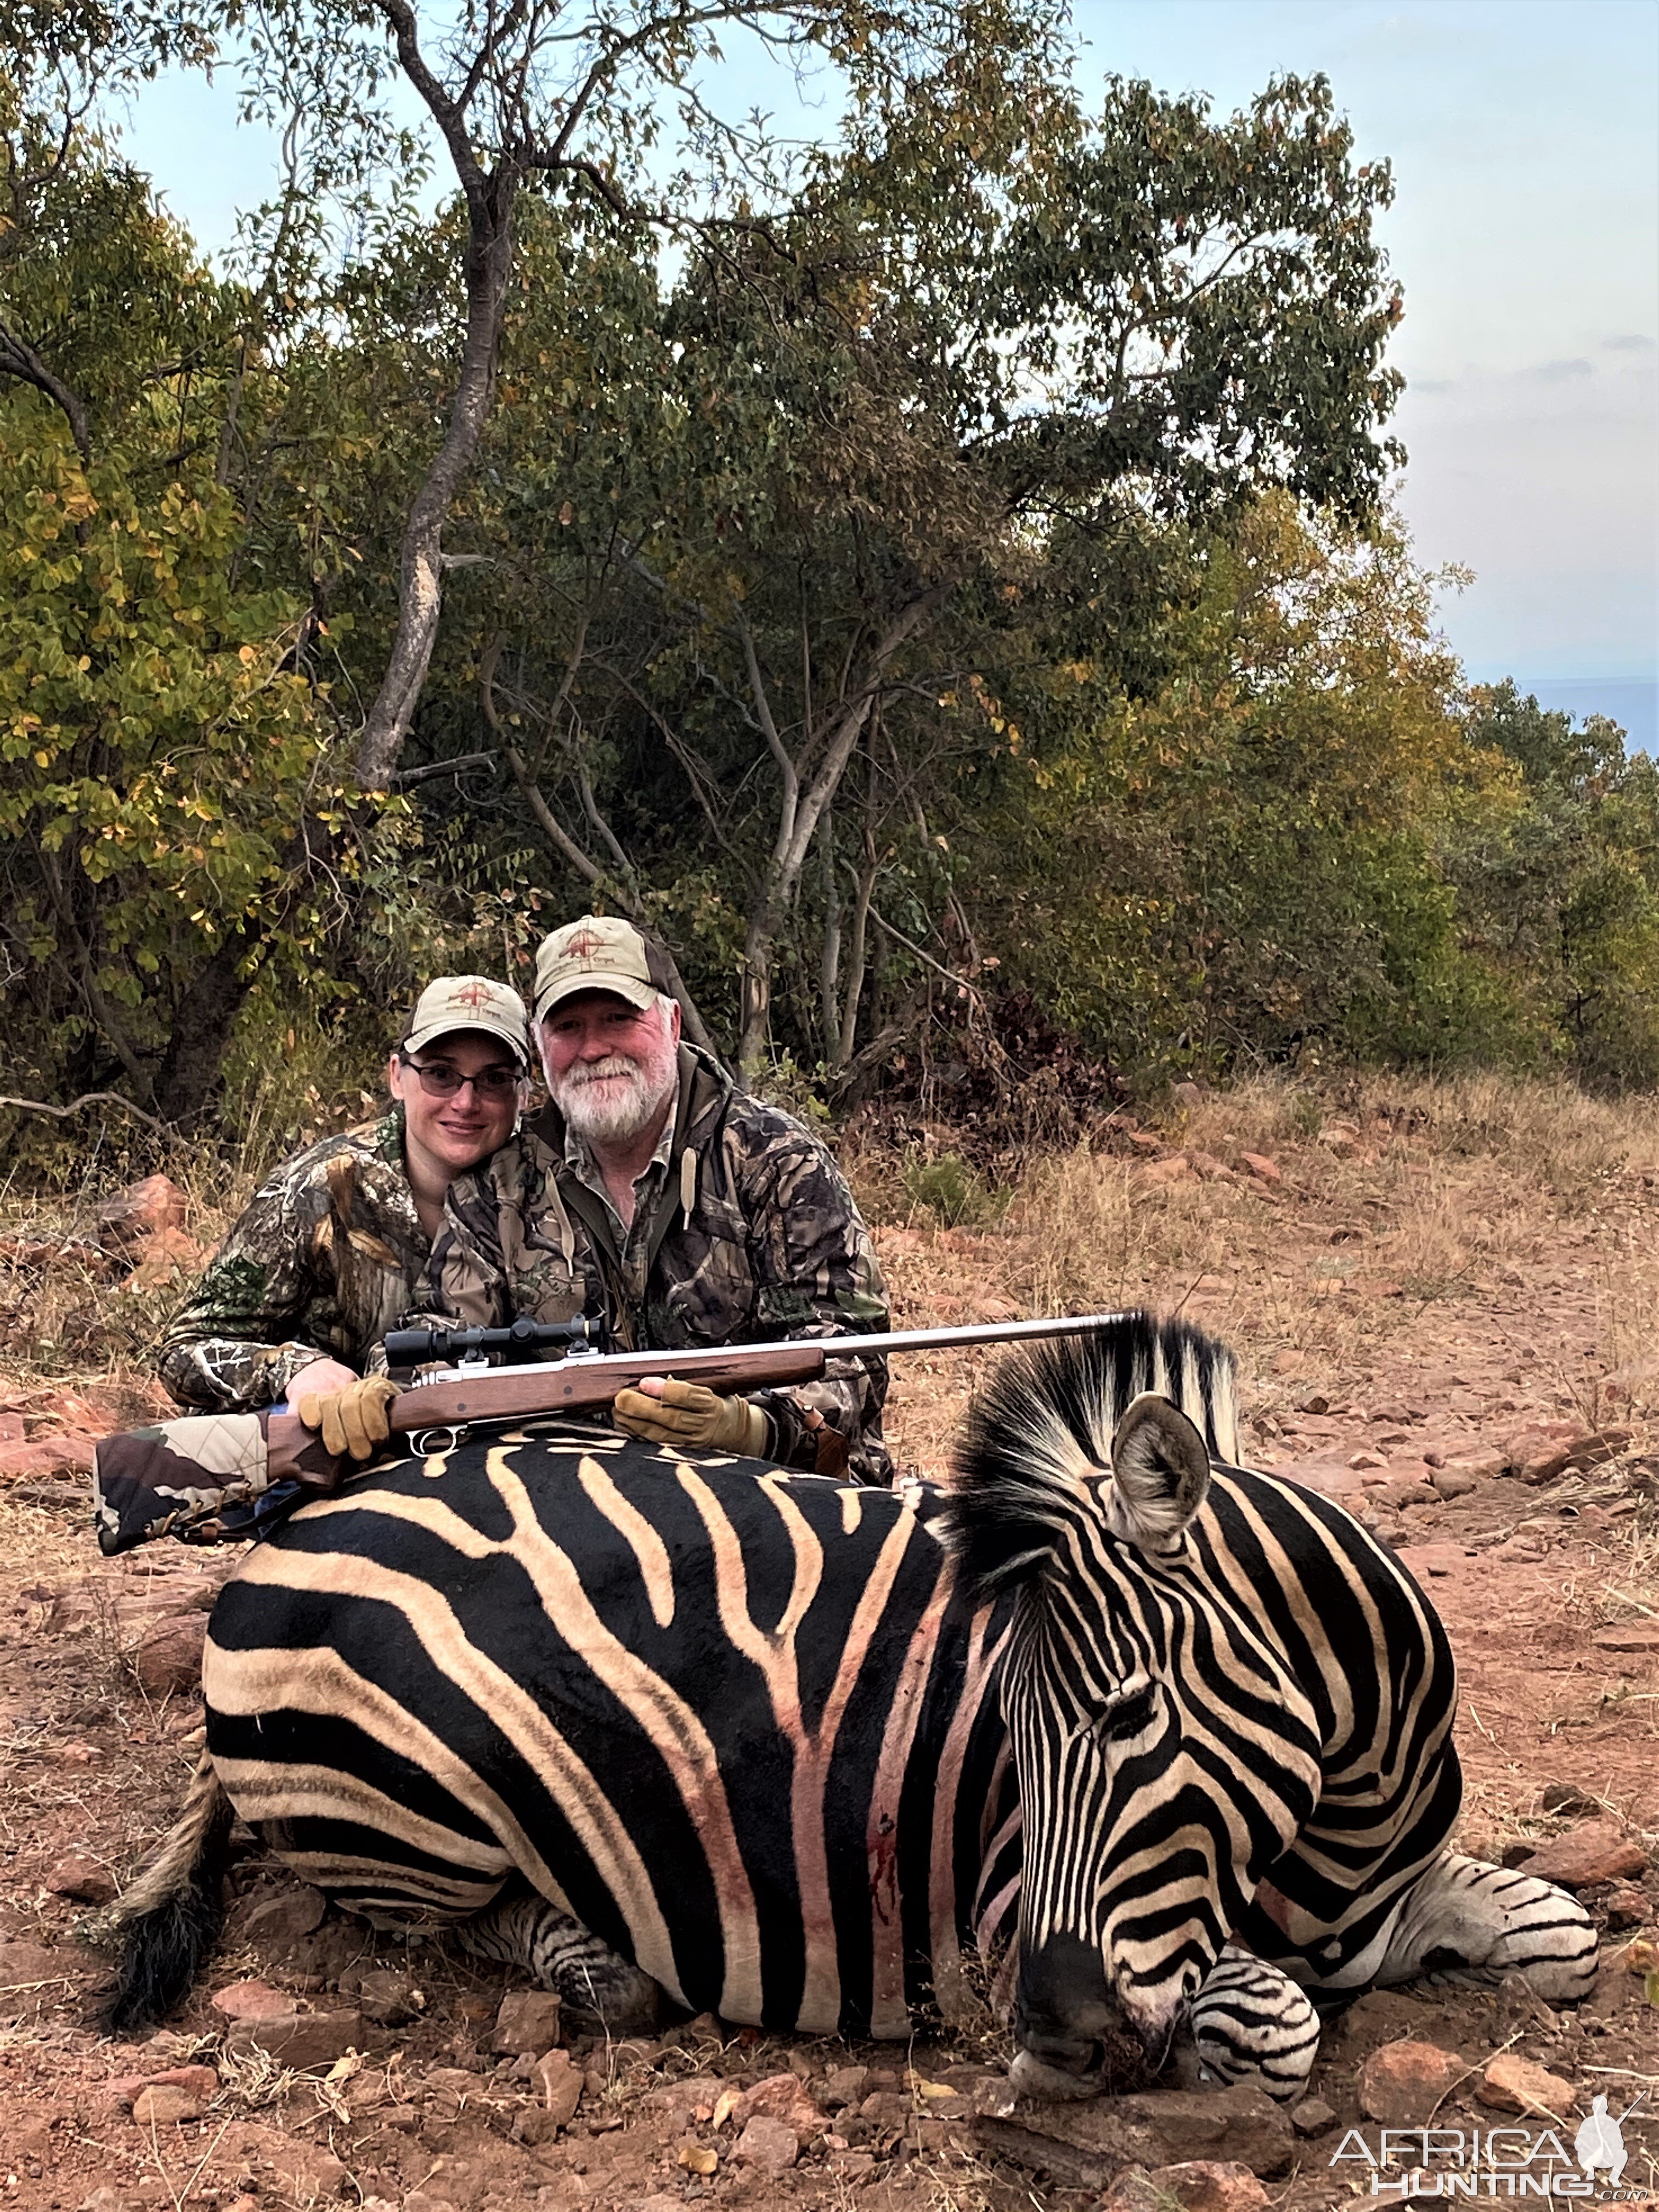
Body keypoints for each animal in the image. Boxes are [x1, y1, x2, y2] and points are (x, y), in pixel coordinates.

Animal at [100, 1309, 1601, 2106]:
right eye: (1013, 1741)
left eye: (1127, 1717)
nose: (1050, 2032)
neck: (1345, 1822)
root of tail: (314, 1510)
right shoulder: (1004, 1917)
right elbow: (1280, 2028)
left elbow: (1570, 1943)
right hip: (411, 1818)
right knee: (451, 1920)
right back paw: (593, 1962)